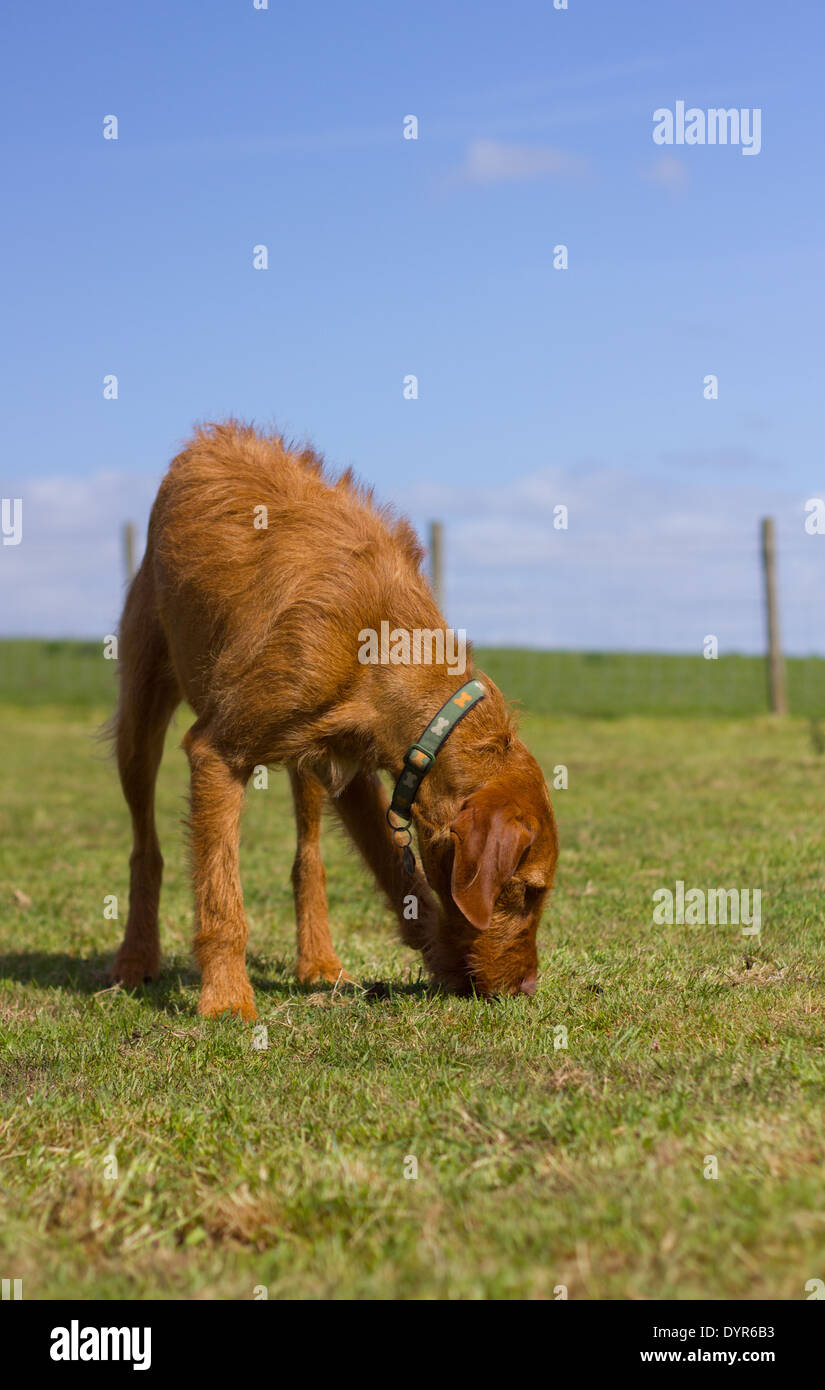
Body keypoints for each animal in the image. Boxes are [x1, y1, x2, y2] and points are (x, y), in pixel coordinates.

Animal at [109, 417, 555, 1017]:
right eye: (528, 891)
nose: (528, 986)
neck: (379, 646)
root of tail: (206, 438)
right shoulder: (218, 754)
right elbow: (221, 897)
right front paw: (226, 998)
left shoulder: (361, 774)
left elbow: (400, 878)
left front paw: (441, 955)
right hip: (139, 719)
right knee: (146, 848)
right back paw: (135, 958)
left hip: (310, 763)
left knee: (309, 858)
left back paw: (317, 960)